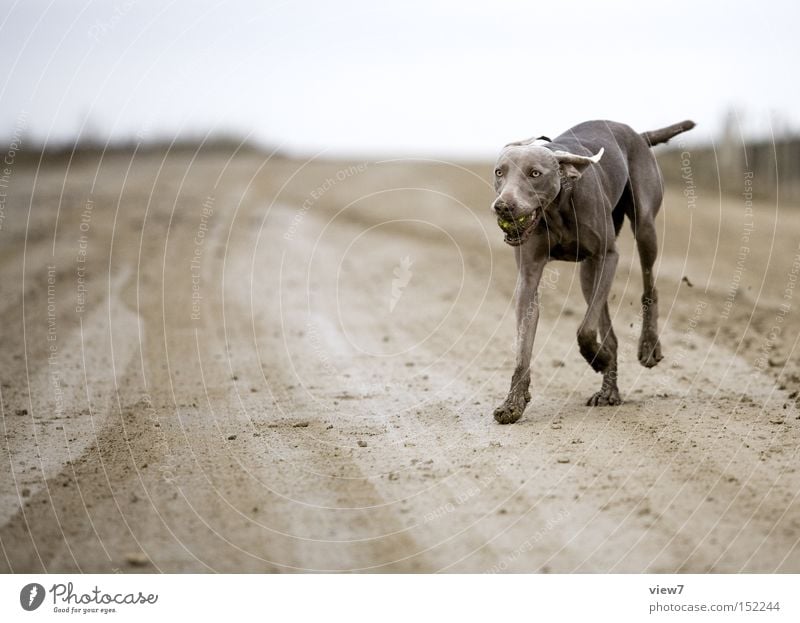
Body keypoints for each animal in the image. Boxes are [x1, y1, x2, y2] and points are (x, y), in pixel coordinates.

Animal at [488, 118, 692, 424]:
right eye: (499, 172)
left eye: (535, 174)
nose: (503, 207)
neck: (558, 207)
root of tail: (636, 133)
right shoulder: (528, 277)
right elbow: (524, 346)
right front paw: (513, 403)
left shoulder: (608, 256)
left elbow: (584, 329)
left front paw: (598, 359)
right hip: (588, 272)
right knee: (610, 333)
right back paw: (609, 391)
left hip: (643, 226)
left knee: (649, 285)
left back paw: (647, 346)